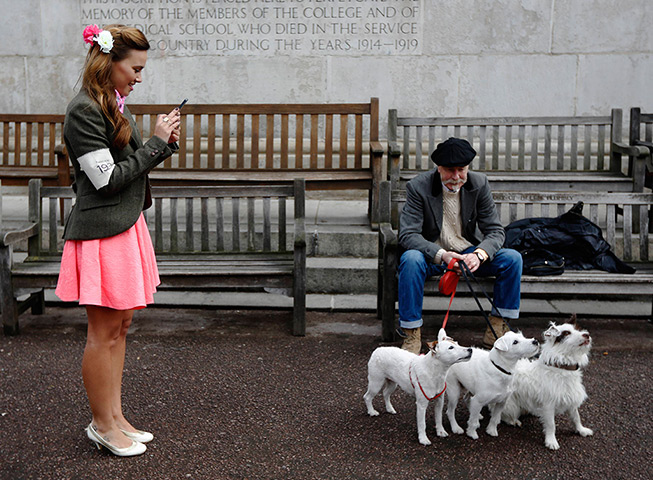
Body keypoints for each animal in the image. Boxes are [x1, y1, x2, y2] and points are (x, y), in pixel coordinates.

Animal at [500, 322, 596, 450]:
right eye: (566, 333)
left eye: (578, 329)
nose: (587, 335)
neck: (562, 367)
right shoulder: (549, 405)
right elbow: (551, 424)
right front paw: (551, 441)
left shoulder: (571, 399)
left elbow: (576, 417)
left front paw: (581, 430)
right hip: (511, 405)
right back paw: (513, 421)